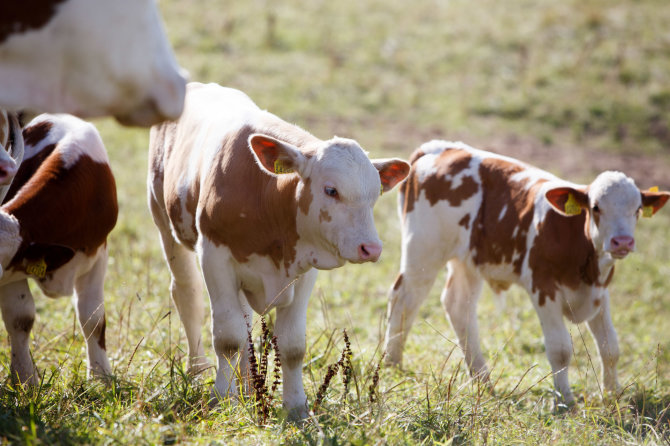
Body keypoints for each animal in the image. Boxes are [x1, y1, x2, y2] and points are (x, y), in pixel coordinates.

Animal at [0, 113, 117, 386]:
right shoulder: (14, 267)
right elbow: (20, 318)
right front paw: (25, 379)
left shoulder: (99, 254)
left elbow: (92, 317)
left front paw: (101, 377)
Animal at [148, 82, 410, 420]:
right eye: (331, 190)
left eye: (375, 194)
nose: (371, 248)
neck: (266, 194)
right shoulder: (214, 256)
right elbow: (228, 337)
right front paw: (223, 399)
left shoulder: (305, 270)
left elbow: (291, 345)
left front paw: (296, 408)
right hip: (164, 222)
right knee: (187, 295)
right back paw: (198, 371)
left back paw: (248, 386)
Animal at [386, 140, 668, 408]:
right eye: (596, 207)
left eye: (637, 209)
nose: (622, 242)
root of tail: (440, 148)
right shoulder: (543, 288)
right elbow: (560, 349)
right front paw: (565, 400)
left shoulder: (600, 291)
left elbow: (610, 347)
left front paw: (612, 395)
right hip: (423, 252)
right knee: (404, 300)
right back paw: (392, 365)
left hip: (467, 261)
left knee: (458, 306)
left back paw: (482, 380)